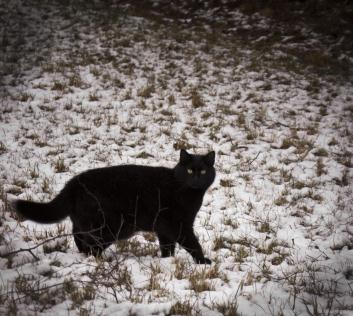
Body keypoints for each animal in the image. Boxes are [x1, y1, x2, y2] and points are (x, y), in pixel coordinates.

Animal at [12, 149, 214, 262]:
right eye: (190, 170)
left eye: (203, 171)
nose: (196, 179)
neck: (188, 192)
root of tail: (74, 182)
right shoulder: (179, 225)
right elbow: (193, 244)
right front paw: (203, 262)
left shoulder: (164, 229)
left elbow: (167, 247)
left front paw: (167, 262)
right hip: (110, 227)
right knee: (91, 245)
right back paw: (100, 262)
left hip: (87, 222)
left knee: (79, 236)